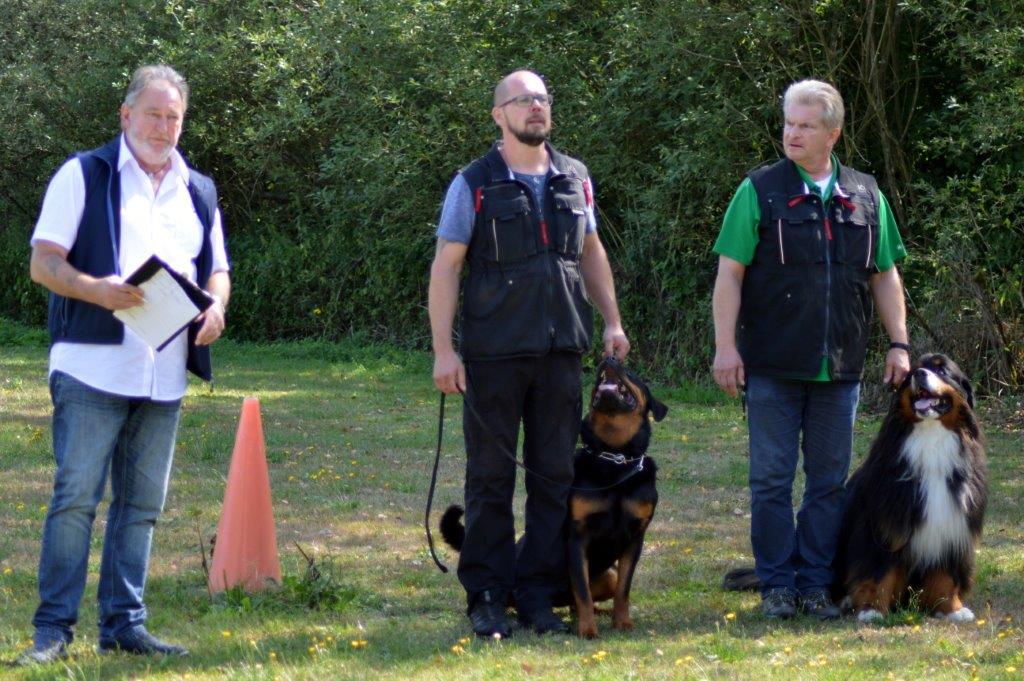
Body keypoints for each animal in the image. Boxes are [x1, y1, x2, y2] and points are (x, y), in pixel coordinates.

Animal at [440, 356, 668, 638]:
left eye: (631, 373)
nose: (609, 357)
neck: (614, 458)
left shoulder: (635, 537)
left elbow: (623, 590)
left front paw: (622, 622)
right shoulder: (577, 536)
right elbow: (582, 590)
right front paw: (587, 630)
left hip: (608, 574)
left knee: (588, 598)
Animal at [724, 353, 987, 622]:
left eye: (942, 370)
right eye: (911, 372)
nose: (919, 374)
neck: (931, 439)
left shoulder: (952, 523)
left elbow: (945, 576)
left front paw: (951, 609)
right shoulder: (881, 527)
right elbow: (878, 572)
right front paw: (872, 609)